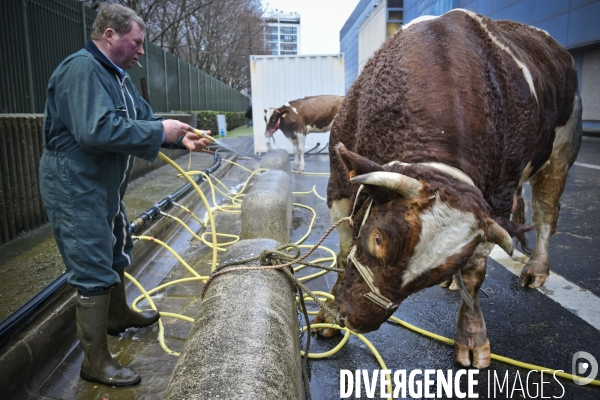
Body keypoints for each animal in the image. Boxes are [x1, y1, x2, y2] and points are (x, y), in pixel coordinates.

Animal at [316, 9, 584, 370]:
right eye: (378, 240)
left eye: (429, 275)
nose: (358, 319)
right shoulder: (340, 181)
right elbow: (345, 252)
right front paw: (328, 316)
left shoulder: (496, 203)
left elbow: (474, 274)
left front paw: (472, 337)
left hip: (561, 152)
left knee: (545, 216)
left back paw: (536, 268)